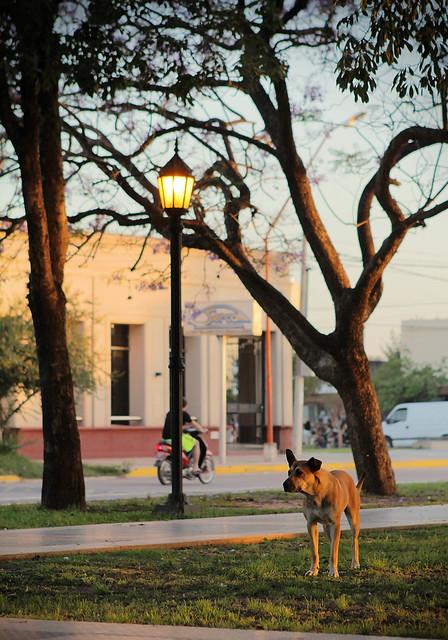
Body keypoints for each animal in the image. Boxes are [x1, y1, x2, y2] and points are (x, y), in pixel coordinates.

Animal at [284, 448, 364, 576]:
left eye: (299, 472)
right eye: (289, 472)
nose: (284, 485)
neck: (316, 493)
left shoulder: (335, 524)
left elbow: (334, 552)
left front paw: (333, 571)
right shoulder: (311, 523)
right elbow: (315, 551)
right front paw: (313, 570)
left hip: (353, 519)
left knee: (354, 541)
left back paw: (355, 563)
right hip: (326, 527)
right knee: (332, 542)